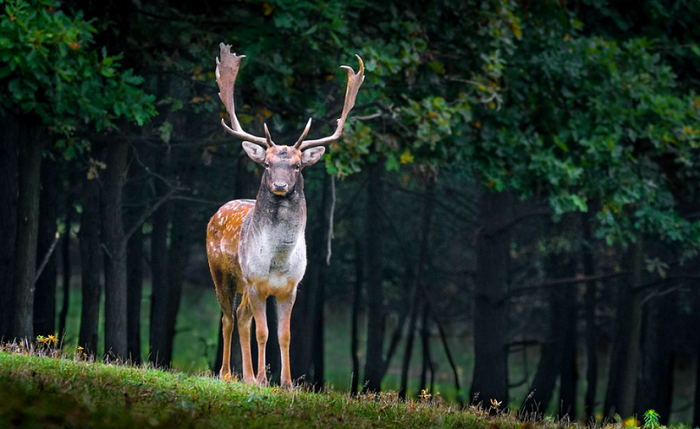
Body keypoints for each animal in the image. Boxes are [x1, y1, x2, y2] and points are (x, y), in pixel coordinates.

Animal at [205, 43, 364, 388]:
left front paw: (287, 383)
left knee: (240, 317)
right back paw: (228, 374)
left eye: (297, 165)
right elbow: (263, 332)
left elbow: (285, 335)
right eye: (266, 164)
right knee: (227, 318)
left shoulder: (290, 288)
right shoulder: (255, 282)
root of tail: (217, 212)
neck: (277, 261)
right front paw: (264, 379)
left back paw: (246, 376)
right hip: (221, 273)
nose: (279, 185)